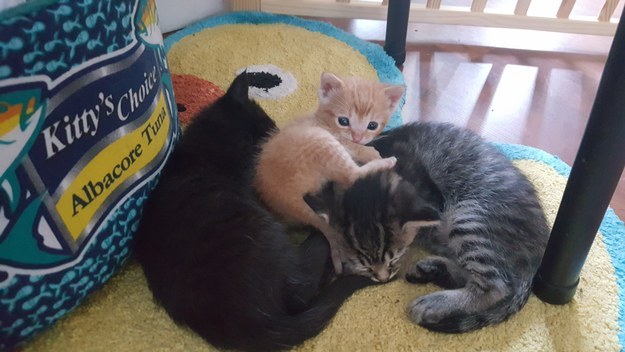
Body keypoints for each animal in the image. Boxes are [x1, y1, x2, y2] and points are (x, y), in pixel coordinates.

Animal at [255, 72, 404, 276]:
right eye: (344, 121)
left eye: (372, 125)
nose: (358, 136)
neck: (323, 121)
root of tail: (281, 195)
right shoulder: (340, 139)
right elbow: (357, 150)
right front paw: (371, 152)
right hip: (320, 141)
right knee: (351, 176)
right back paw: (386, 161)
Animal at [304, 123, 548, 332]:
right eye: (363, 265)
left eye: (393, 257)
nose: (382, 278)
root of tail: (537, 257)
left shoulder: (433, 201)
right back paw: (432, 269)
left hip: (469, 216)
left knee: (496, 286)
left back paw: (433, 302)